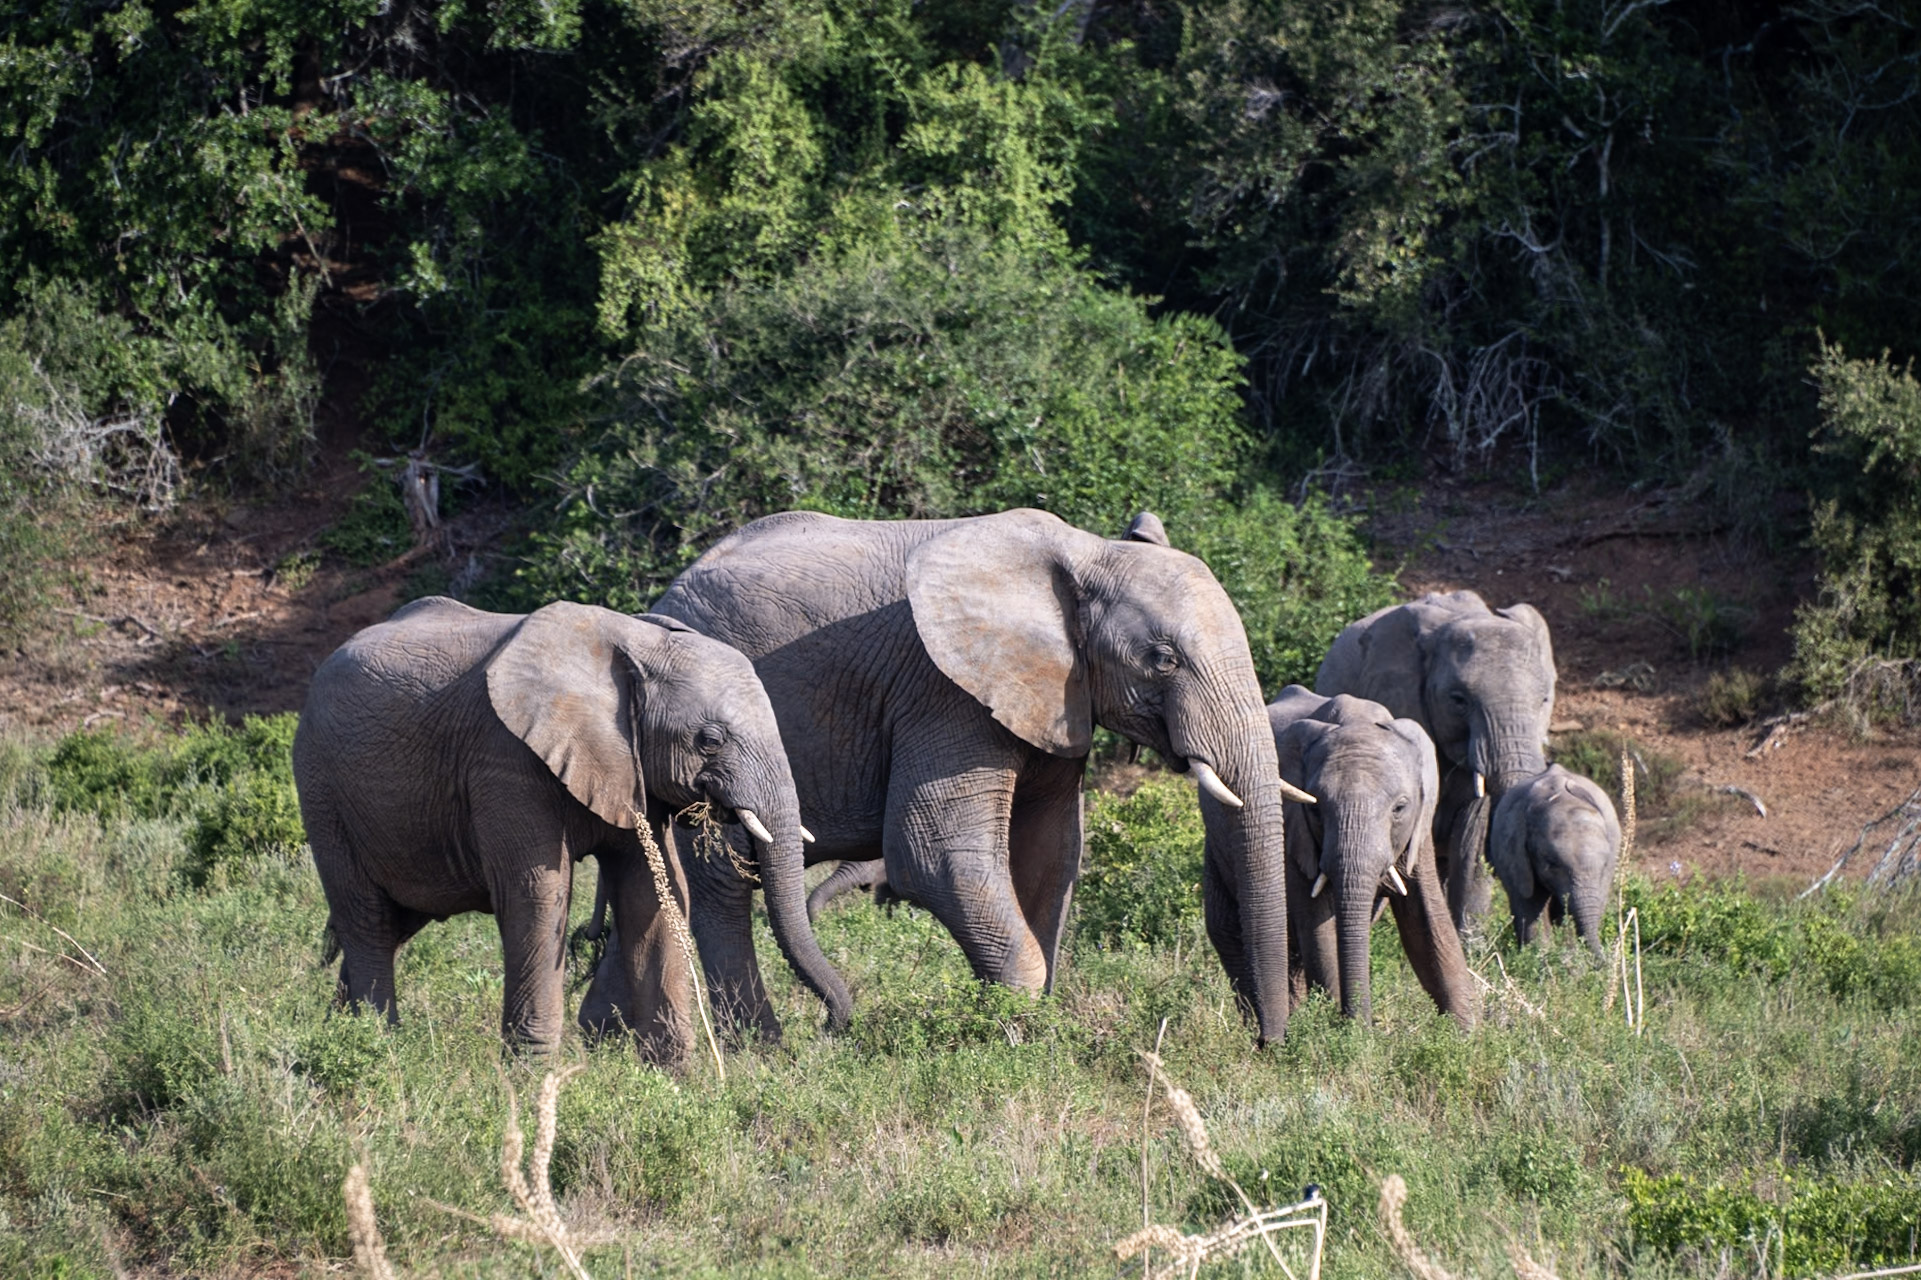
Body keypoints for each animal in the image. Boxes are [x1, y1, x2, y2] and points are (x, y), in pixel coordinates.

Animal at [291, 597, 851, 1064]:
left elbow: (653, 894)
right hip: (321, 788)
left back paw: (340, 1037)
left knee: (392, 922)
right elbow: (538, 895)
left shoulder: (631, 769)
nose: (831, 1028)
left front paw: (674, 1076)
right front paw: (530, 1076)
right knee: (365, 917)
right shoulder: (505, 757)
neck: (631, 645)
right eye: (710, 740)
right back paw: (376, 1047)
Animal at [651, 508, 1312, 1045]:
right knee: (723, 883)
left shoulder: (1053, 697)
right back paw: (762, 1051)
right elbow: (934, 853)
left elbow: (1049, 856)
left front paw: (1035, 1032)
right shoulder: (942, 691)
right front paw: (1014, 1040)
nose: (1267, 1044)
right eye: (1163, 660)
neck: (1084, 552)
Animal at [1268, 687, 1477, 1027]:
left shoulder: (1419, 829)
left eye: (1400, 808)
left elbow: (1428, 923)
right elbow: (1319, 932)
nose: (1365, 1026)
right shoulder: (1294, 831)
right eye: (1315, 809)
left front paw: (1466, 1032)